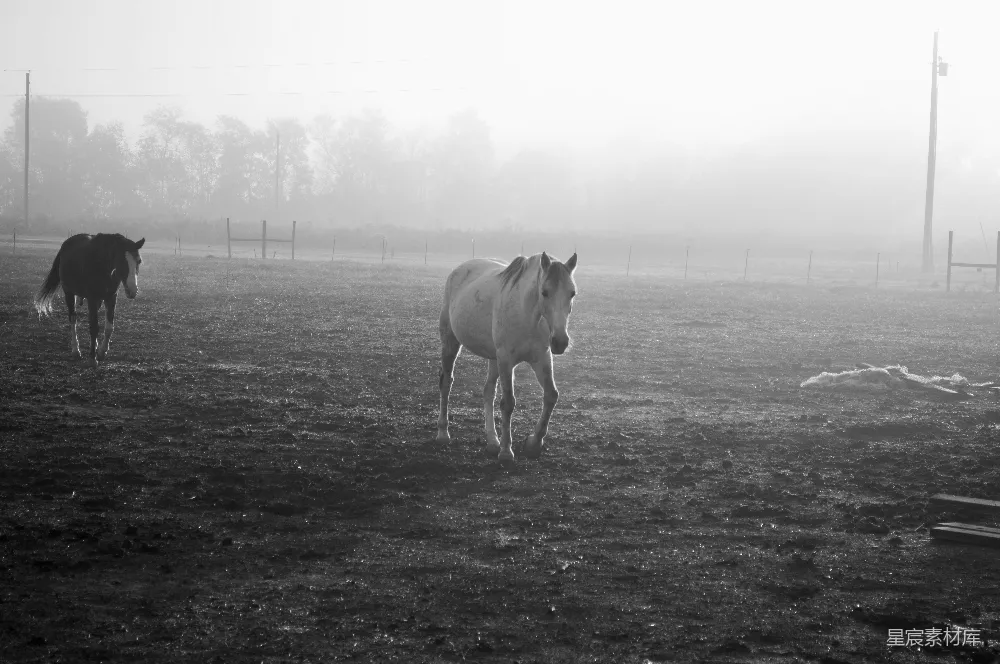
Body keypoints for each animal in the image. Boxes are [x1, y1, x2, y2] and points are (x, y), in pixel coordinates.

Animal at [34, 233, 146, 369]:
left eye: (139, 261)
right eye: (121, 261)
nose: (132, 290)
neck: (102, 266)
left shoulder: (111, 297)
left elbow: (109, 327)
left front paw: (102, 352)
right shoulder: (92, 298)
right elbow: (94, 328)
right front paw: (92, 358)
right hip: (69, 293)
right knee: (73, 318)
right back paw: (76, 350)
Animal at [436, 251, 578, 467]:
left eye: (572, 293)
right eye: (545, 292)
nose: (560, 342)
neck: (528, 316)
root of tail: (459, 269)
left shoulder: (541, 358)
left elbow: (551, 395)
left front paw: (533, 444)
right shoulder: (506, 360)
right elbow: (508, 402)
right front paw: (506, 451)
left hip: (494, 358)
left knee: (488, 391)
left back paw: (492, 441)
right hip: (451, 343)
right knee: (446, 382)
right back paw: (443, 433)